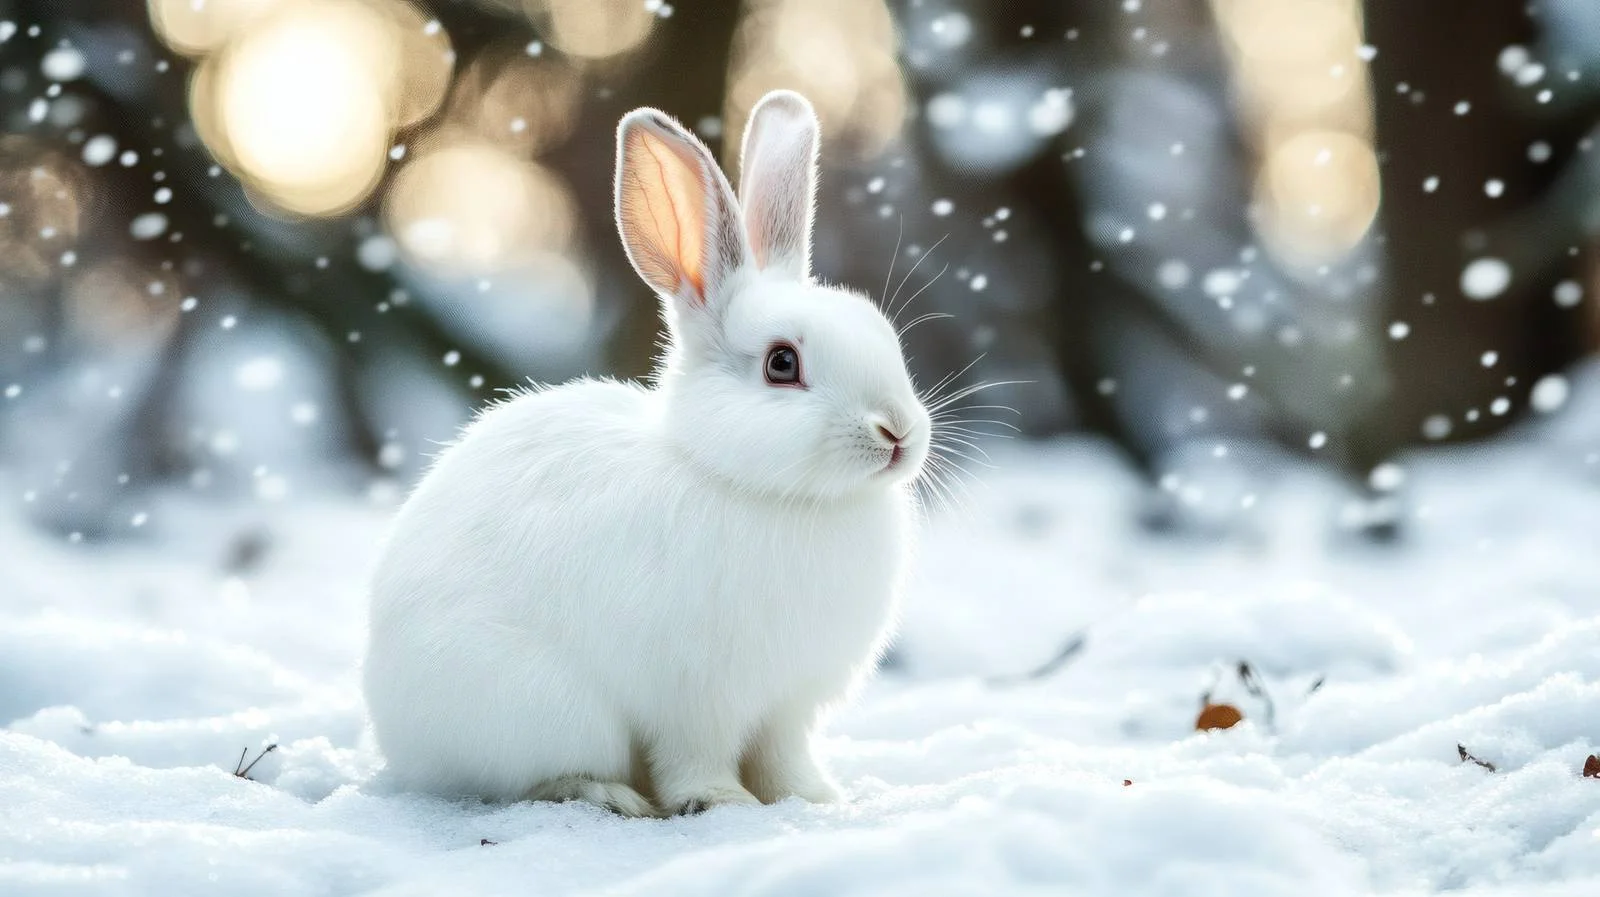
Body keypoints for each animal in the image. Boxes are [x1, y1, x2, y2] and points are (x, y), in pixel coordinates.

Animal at [362, 89, 930, 817]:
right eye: (782, 363)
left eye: (883, 334)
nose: (899, 433)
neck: (752, 484)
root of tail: (394, 732)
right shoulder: (696, 697)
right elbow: (696, 757)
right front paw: (721, 801)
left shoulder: (788, 705)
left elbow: (783, 757)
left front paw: (814, 798)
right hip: (547, 709)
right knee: (525, 781)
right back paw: (611, 795)